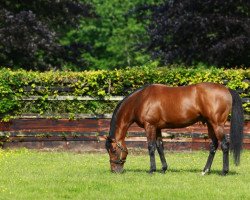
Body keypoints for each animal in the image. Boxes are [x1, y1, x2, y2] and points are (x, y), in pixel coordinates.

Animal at [105, 82, 244, 175]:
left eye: (113, 150)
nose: (114, 170)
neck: (140, 100)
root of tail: (227, 89)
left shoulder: (149, 126)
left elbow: (151, 147)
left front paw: (152, 170)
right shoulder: (157, 128)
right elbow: (160, 147)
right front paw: (163, 169)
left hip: (217, 124)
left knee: (224, 144)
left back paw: (224, 172)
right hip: (210, 124)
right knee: (214, 145)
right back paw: (205, 170)